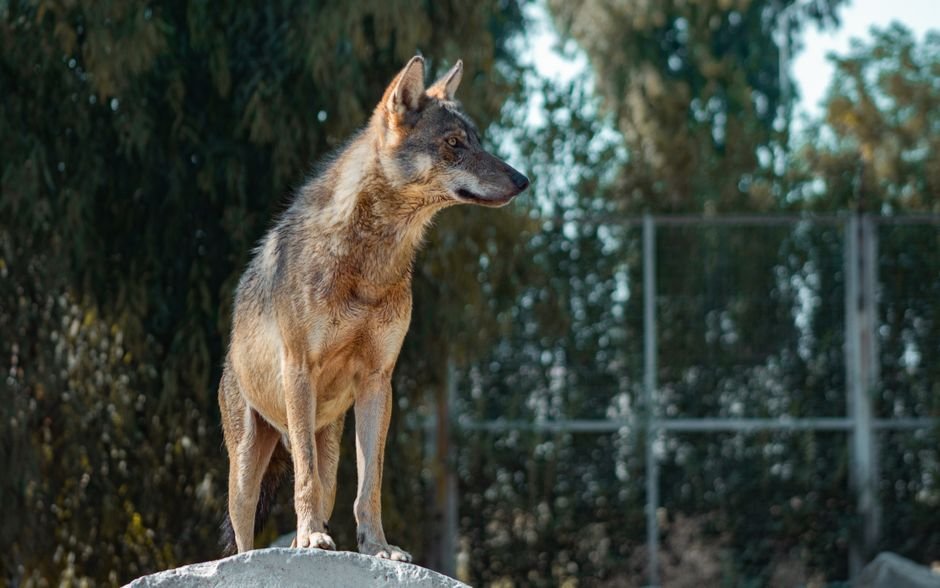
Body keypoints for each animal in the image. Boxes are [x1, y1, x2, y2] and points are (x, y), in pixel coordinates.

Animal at [218, 55, 529, 561]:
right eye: (454, 144)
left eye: (478, 141)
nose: (523, 180)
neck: (371, 262)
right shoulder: (299, 369)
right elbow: (305, 482)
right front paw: (316, 541)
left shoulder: (378, 380)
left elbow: (370, 485)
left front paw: (377, 547)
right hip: (246, 470)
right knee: (248, 531)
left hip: (326, 443)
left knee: (321, 486)